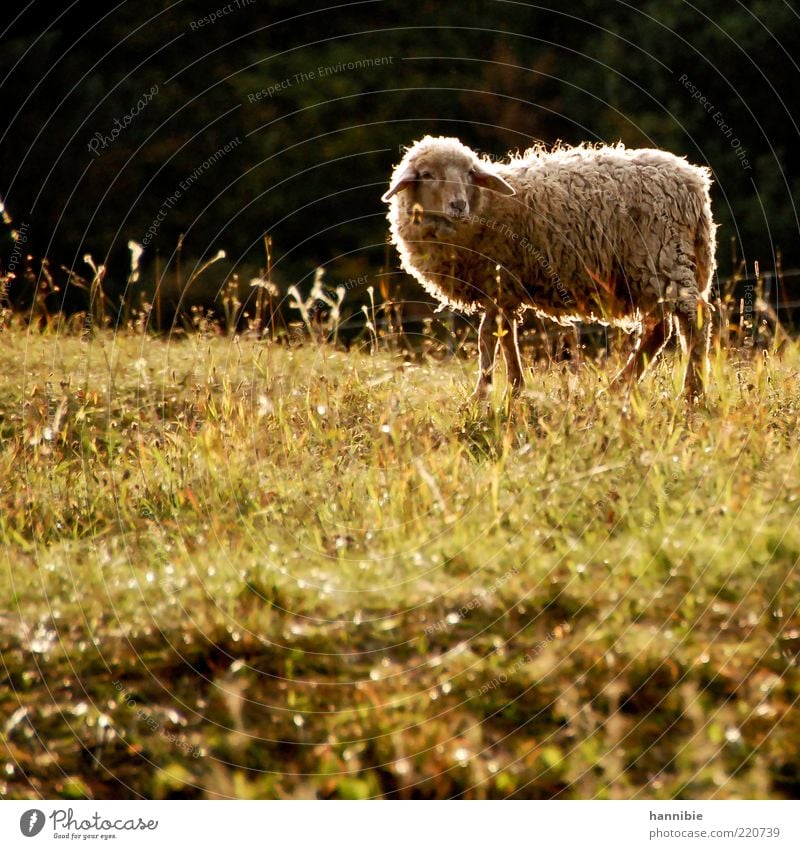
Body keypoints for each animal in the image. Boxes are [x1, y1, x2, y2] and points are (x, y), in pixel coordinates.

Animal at [382, 136, 720, 400]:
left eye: (468, 173)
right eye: (427, 174)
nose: (458, 206)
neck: (486, 207)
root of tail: (694, 181)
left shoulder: (497, 279)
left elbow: (486, 335)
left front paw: (481, 395)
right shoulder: (504, 287)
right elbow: (505, 333)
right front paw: (514, 388)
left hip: (662, 258)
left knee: (694, 320)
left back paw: (690, 393)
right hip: (654, 267)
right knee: (660, 328)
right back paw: (619, 388)